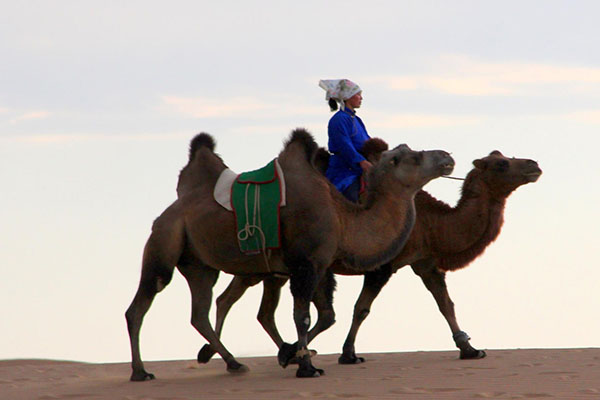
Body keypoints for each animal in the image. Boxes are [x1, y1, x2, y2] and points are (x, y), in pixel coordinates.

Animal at [126, 129, 454, 382]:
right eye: (414, 156)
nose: (447, 156)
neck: (343, 217)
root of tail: (166, 213)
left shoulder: (319, 265)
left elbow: (323, 315)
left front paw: (291, 355)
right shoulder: (307, 264)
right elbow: (303, 316)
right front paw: (307, 367)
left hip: (200, 264)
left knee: (201, 312)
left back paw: (234, 362)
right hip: (165, 241)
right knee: (141, 303)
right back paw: (141, 372)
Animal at [195, 141, 540, 366]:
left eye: (505, 156)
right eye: (501, 164)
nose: (534, 165)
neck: (431, 222)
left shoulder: (425, 263)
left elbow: (446, 304)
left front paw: (469, 349)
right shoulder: (382, 265)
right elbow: (358, 309)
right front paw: (345, 354)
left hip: (270, 269)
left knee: (246, 306)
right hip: (264, 263)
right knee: (233, 301)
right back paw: (226, 355)